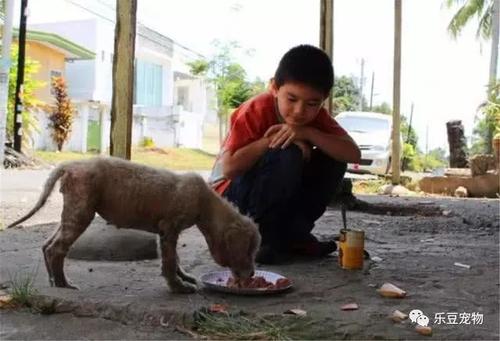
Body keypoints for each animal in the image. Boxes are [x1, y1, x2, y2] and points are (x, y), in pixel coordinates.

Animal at [7, 157, 260, 292]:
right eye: (249, 250)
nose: (252, 274)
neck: (205, 201)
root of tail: (72, 164)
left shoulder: (165, 233)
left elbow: (175, 258)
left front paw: (184, 277)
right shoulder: (169, 228)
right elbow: (169, 262)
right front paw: (178, 287)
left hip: (71, 213)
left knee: (47, 245)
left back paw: (52, 280)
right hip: (80, 212)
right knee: (56, 249)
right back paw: (63, 284)